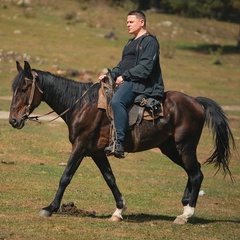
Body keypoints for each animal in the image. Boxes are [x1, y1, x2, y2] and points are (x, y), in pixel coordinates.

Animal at [8, 61, 234, 223]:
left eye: (24, 88)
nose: (13, 120)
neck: (81, 105)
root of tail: (196, 102)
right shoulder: (96, 152)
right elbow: (110, 179)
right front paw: (119, 209)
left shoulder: (80, 147)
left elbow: (66, 177)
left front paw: (50, 208)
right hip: (170, 148)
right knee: (193, 172)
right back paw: (185, 204)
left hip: (184, 146)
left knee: (196, 174)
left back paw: (185, 215)